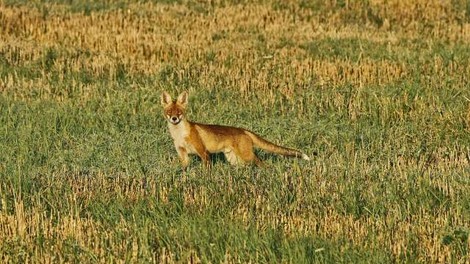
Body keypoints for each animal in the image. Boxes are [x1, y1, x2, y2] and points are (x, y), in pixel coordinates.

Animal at [160, 91, 310, 169]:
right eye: (169, 112)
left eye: (179, 112)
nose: (174, 119)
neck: (180, 134)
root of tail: (243, 130)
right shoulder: (183, 155)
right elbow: (184, 168)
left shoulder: (203, 152)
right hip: (235, 160)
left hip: (247, 156)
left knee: (262, 163)